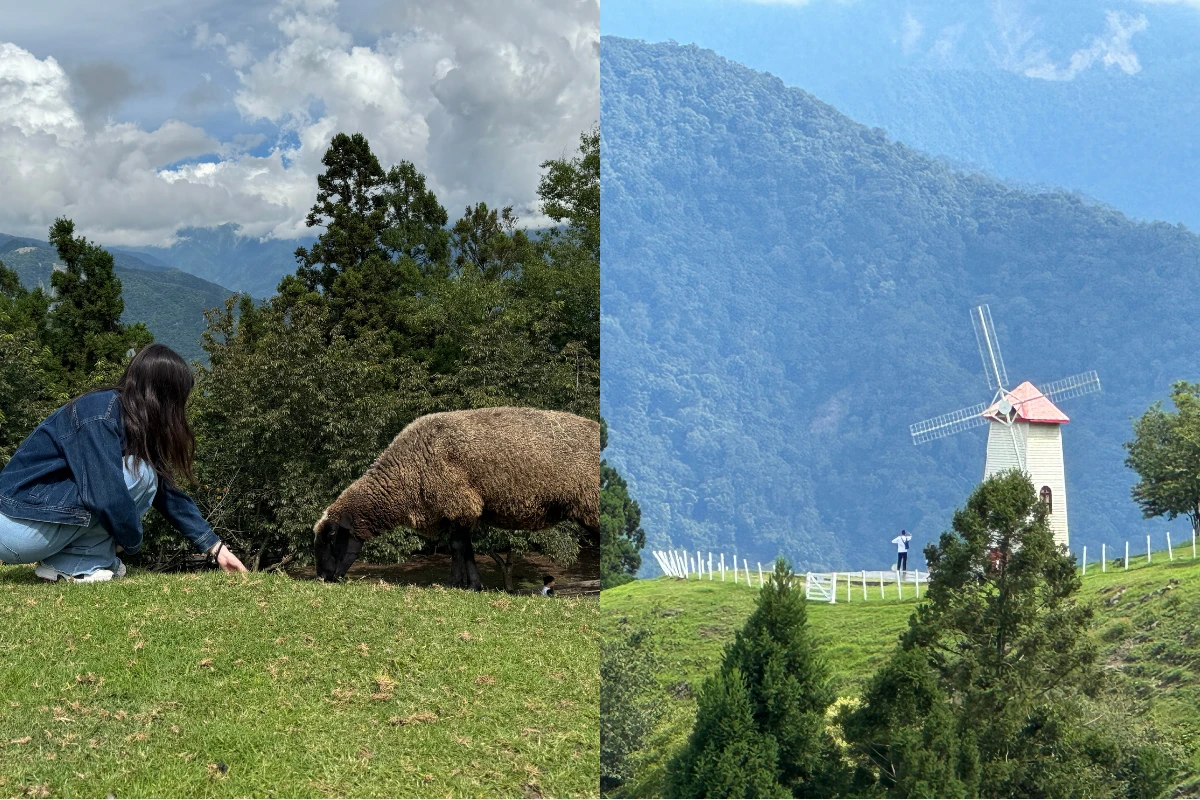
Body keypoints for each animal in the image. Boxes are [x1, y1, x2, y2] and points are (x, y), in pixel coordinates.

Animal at [312, 407, 597, 587]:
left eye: (332, 536)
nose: (323, 578)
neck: (407, 471)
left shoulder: (459, 501)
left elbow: (459, 547)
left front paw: (457, 585)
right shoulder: (457, 510)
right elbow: (463, 548)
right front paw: (471, 585)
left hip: (591, 501)